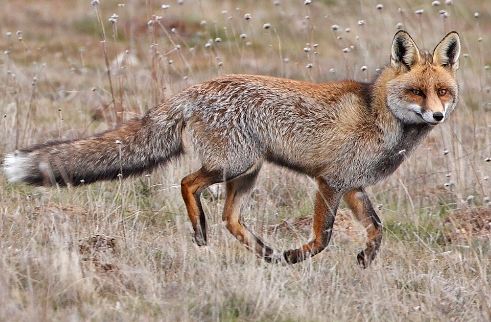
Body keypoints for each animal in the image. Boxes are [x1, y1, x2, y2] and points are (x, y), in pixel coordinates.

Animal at [1, 30, 462, 266]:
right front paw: (298, 255)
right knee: (188, 184)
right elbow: (324, 236)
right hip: (235, 164)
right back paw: (203, 231)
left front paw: (365, 259)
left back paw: (265, 252)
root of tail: (195, 89)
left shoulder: (353, 186)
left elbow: (378, 228)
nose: (438, 116)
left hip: (247, 171)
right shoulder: (329, 181)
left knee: (229, 217)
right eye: (417, 92)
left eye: (442, 91)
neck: (378, 113)